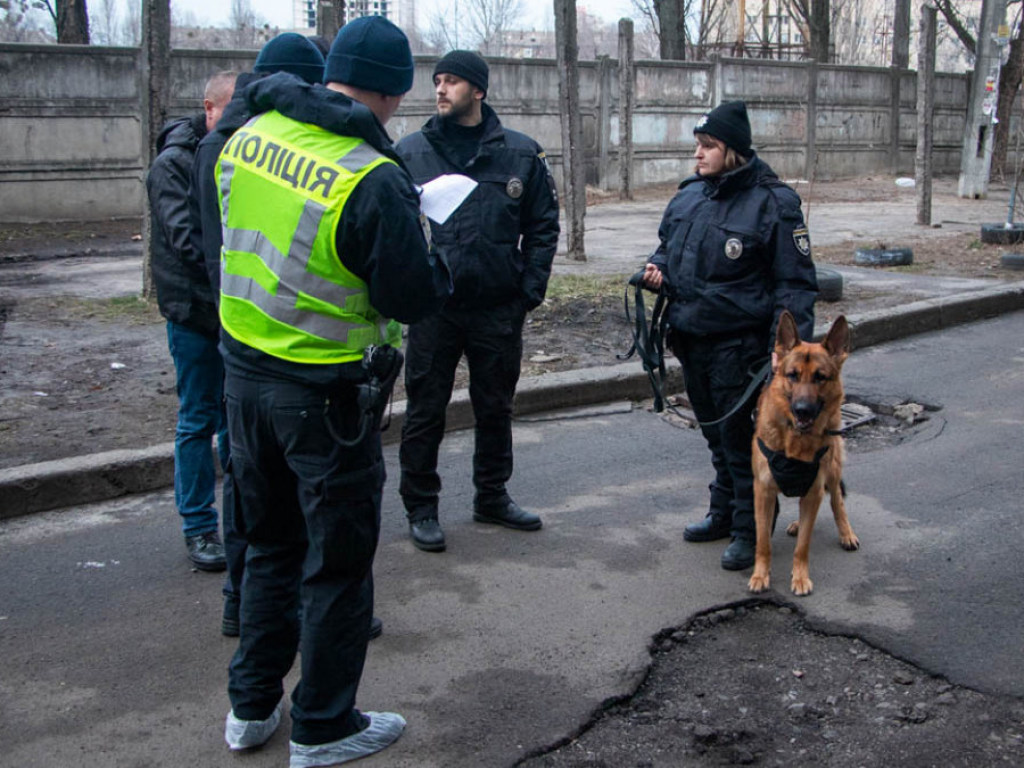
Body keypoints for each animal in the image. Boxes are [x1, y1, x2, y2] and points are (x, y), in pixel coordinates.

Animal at [749, 309, 860, 598]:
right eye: (792, 375)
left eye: (820, 377)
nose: (802, 410)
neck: (794, 440)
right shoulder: (763, 491)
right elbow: (763, 541)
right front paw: (760, 575)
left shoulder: (813, 491)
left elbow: (803, 546)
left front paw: (800, 578)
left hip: (831, 471)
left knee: (836, 501)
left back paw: (846, 533)